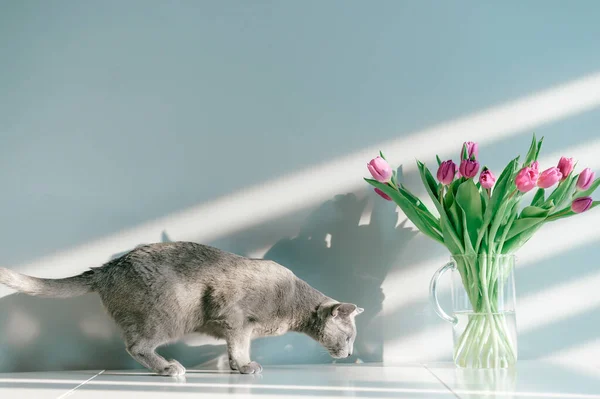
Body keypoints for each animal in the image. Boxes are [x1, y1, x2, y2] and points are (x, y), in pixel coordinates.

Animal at [0, 242, 360, 376]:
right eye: (349, 337)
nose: (350, 353)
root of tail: (107, 268)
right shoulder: (236, 318)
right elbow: (241, 344)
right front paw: (246, 367)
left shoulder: (235, 326)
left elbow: (233, 348)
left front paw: (234, 367)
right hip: (167, 315)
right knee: (136, 346)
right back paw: (167, 368)